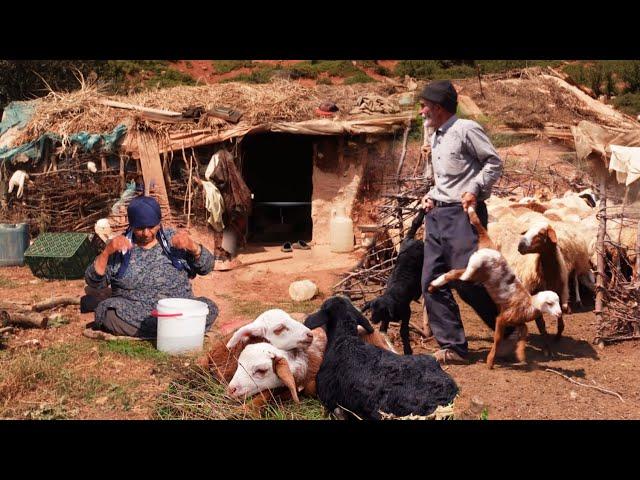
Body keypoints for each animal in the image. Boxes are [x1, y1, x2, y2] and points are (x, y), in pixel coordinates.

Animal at [360, 208, 424, 354]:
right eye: (371, 309)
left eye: (380, 310)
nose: (371, 319)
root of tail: (411, 239)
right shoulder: (386, 319)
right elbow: (383, 330)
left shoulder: (406, 313)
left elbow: (403, 331)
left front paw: (407, 349)